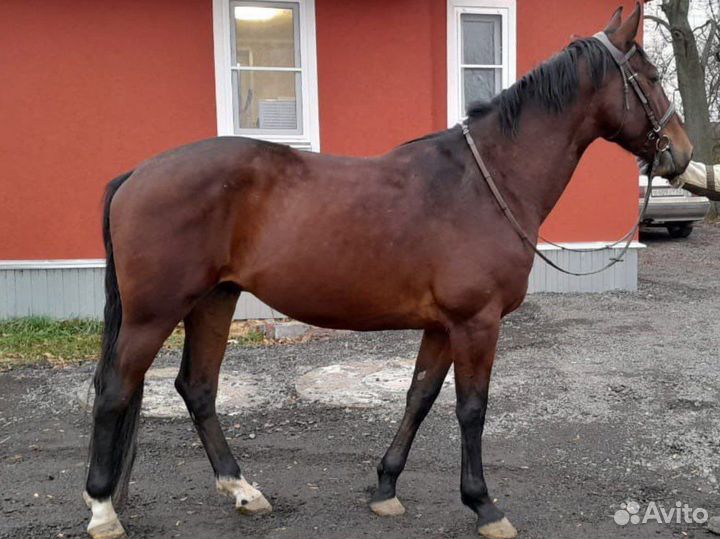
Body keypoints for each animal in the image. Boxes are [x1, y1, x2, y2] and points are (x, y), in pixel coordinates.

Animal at [83, 4, 692, 539]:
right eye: (653, 76)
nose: (681, 154)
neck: (487, 181)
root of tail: (136, 173)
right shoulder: (477, 322)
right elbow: (472, 409)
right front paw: (484, 505)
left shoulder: (443, 326)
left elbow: (418, 397)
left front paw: (385, 487)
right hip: (155, 312)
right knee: (116, 388)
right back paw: (102, 509)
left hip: (216, 298)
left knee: (198, 387)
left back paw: (242, 489)